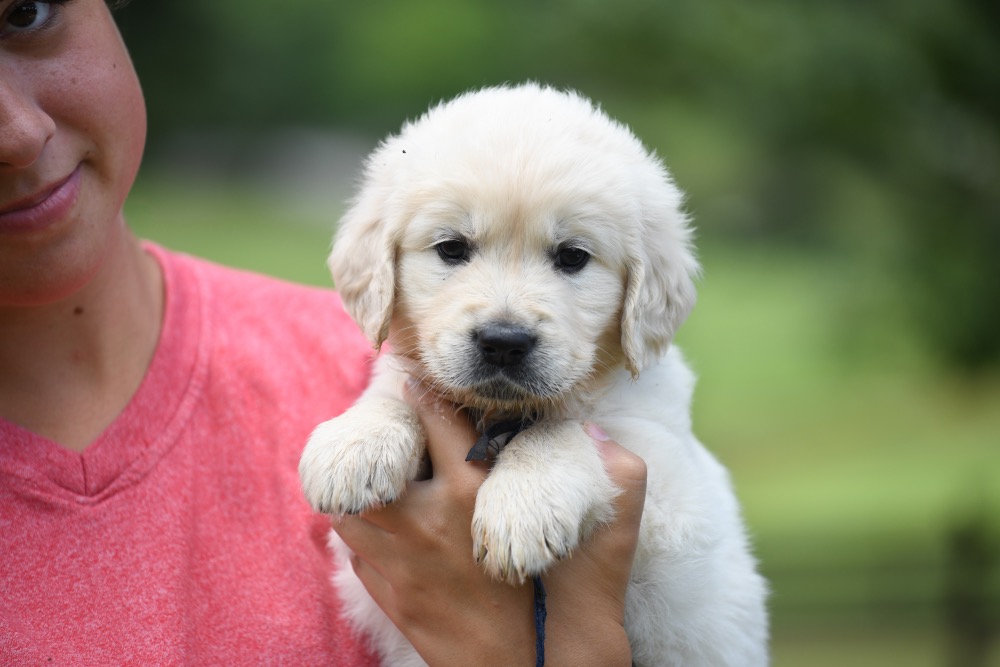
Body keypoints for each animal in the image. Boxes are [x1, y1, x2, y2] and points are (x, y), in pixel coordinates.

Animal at [300, 83, 768, 667]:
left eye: (572, 257)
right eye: (452, 247)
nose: (504, 342)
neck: (497, 418)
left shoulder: (674, 502)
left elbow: (561, 430)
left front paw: (523, 508)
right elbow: (394, 394)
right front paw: (355, 444)